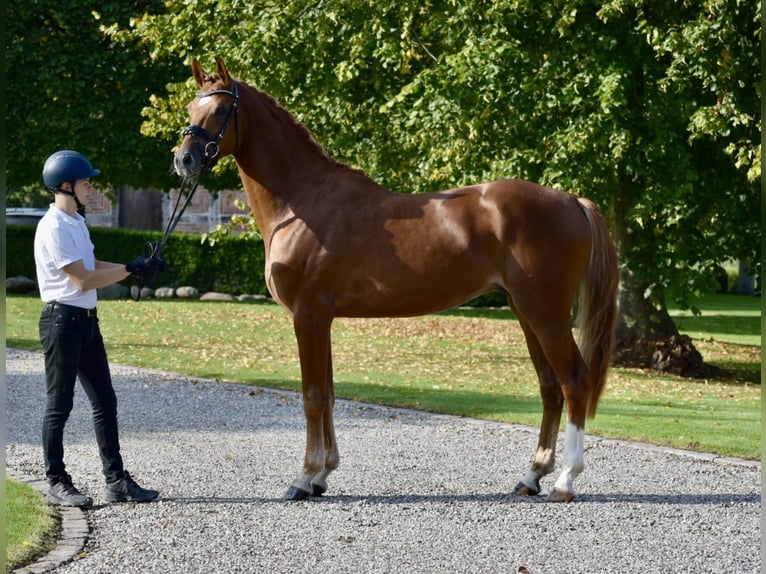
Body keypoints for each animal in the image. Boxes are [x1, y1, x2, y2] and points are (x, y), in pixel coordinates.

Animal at [172, 56, 616, 502]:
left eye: (221, 110)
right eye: (192, 109)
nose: (184, 160)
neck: (302, 203)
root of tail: (572, 200)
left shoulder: (308, 316)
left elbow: (313, 396)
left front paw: (303, 478)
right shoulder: (322, 319)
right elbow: (329, 395)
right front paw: (322, 475)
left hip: (545, 313)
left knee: (574, 380)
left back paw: (565, 480)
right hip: (526, 312)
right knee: (550, 387)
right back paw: (532, 475)